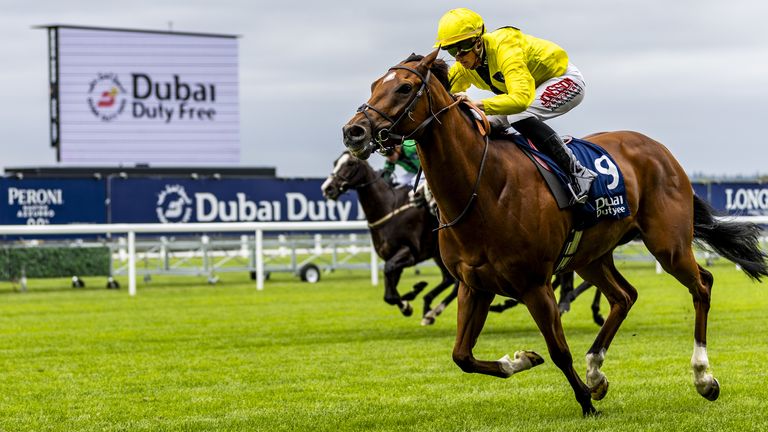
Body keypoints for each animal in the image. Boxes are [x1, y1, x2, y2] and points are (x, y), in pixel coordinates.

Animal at [322, 152, 460, 324]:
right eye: (335, 162)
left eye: (351, 163)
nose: (327, 188)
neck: (389, 208)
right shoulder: (392, 257)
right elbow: (389, 294)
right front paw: (409, 299)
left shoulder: (408, 253)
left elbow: (388, 273)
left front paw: (411, 297)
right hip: (438, 254)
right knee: (449, 279)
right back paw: (429, 309)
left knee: (457, 283)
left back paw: (431, 311)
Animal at [342, 49, 768, 416]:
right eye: (374, 85)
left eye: (404, 88)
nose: (354, 131)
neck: (483, 187)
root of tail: (660, 150)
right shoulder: (473, 284)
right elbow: (461, 356)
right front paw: (521, 360)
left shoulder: (534, 283)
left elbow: (559, 350)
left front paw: (585, 403)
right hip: (591, 255)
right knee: (624, 296)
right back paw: (596, 370)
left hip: (668, 243)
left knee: (702, 285)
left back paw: (703, 377)